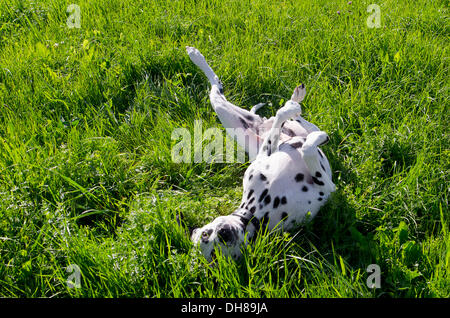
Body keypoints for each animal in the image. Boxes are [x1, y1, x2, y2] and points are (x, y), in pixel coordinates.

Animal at [185, 46, 336, 260]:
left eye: (206, 233)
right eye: (214, 256)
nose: (223, 234)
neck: (255, 213)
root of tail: (259, 125)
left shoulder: (264, 157)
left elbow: (284, 120)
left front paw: (291, 111)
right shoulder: (327, 188)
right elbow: (307, 149)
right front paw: (317, 138)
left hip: (226, 113)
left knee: (216, 86)